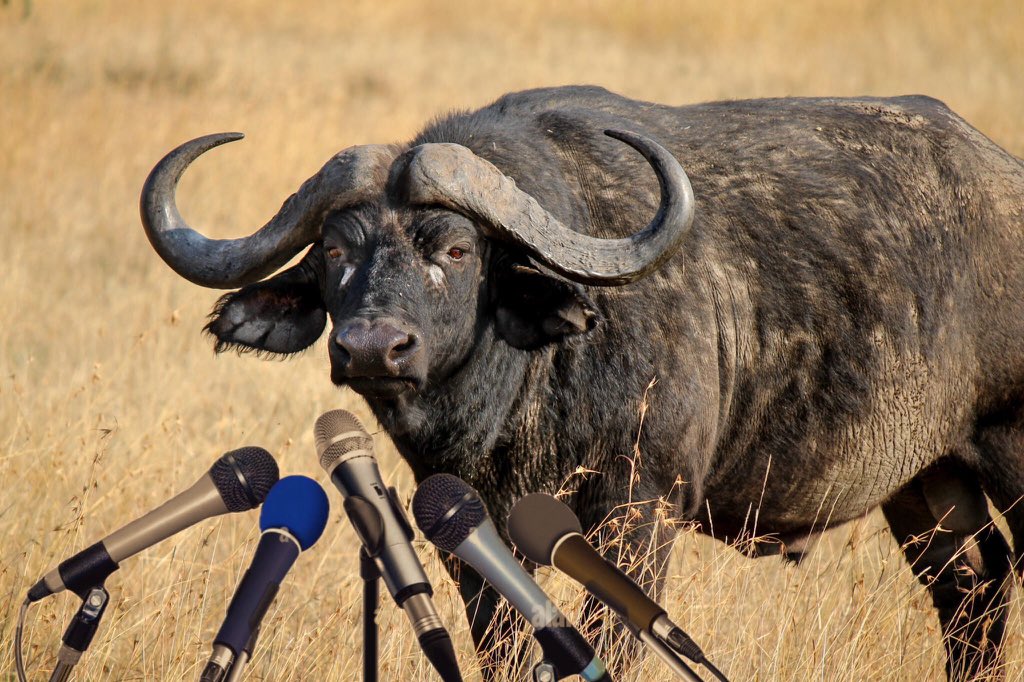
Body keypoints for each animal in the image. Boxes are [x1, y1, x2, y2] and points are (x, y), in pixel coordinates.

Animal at [141, 86, 1024, 680]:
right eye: (332, 251)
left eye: (456, 249)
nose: (370, 348)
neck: (523, 395)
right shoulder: (465, 524)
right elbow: (502, 646)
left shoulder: (640, 512)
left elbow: (610, 642)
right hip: (926, 481)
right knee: (973, 591)